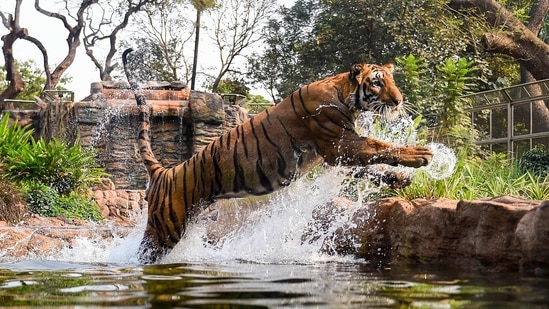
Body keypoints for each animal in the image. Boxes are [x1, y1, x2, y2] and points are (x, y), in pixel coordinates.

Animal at [121, 48, 432, 262]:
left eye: (392, 81)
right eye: (377, 83)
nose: (399, 101)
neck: (347, 95)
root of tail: (164, 172)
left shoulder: (337, 153)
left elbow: (372, 166)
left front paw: (401, 179)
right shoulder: (339, 144)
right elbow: (380, 146)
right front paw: (421, 154)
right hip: (165, 229)